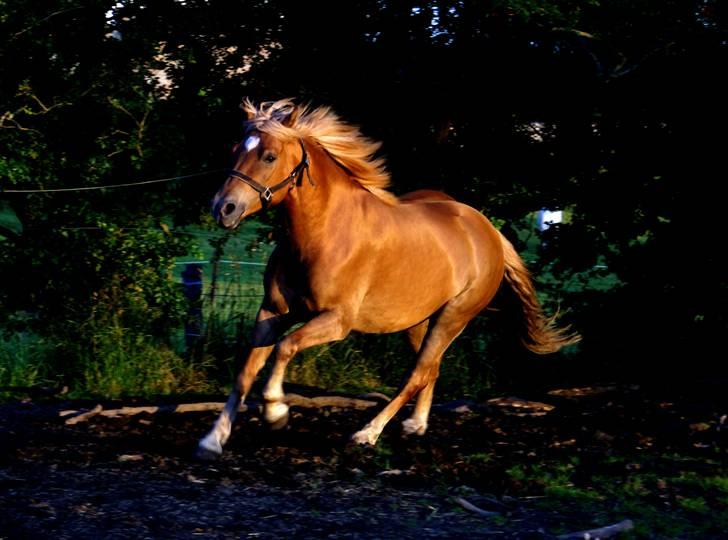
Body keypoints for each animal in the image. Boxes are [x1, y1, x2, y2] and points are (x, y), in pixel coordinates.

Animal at [195, 99, 580, 458]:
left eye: (270, 155)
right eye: (235, 149)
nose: (223, 208)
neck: (324, 234)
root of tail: (487, 230)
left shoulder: (337, 321)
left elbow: (284, 348)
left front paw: (275, 412)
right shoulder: (272, 312)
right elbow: (246, 371)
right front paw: (212, 440)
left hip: (453, 317)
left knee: (417, 374)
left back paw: (367, 433)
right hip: (416, 322)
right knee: (431, 369)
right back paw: (415, 425)